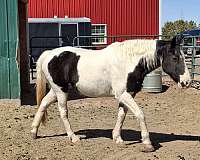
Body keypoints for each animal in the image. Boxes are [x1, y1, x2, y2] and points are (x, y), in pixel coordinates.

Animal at [30, 34, 191, 152]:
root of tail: (49, 54)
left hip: (55, 90)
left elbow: (121, 115)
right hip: (61, 91)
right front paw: (147, 143)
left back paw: (33, 132)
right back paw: (73, 137)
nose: (187, 82)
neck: (128, 61)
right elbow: (140, 114)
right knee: (63, 113)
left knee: (43, 104)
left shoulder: (128, 94)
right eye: (175, 57)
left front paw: (118, 138)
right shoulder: (123, 94)